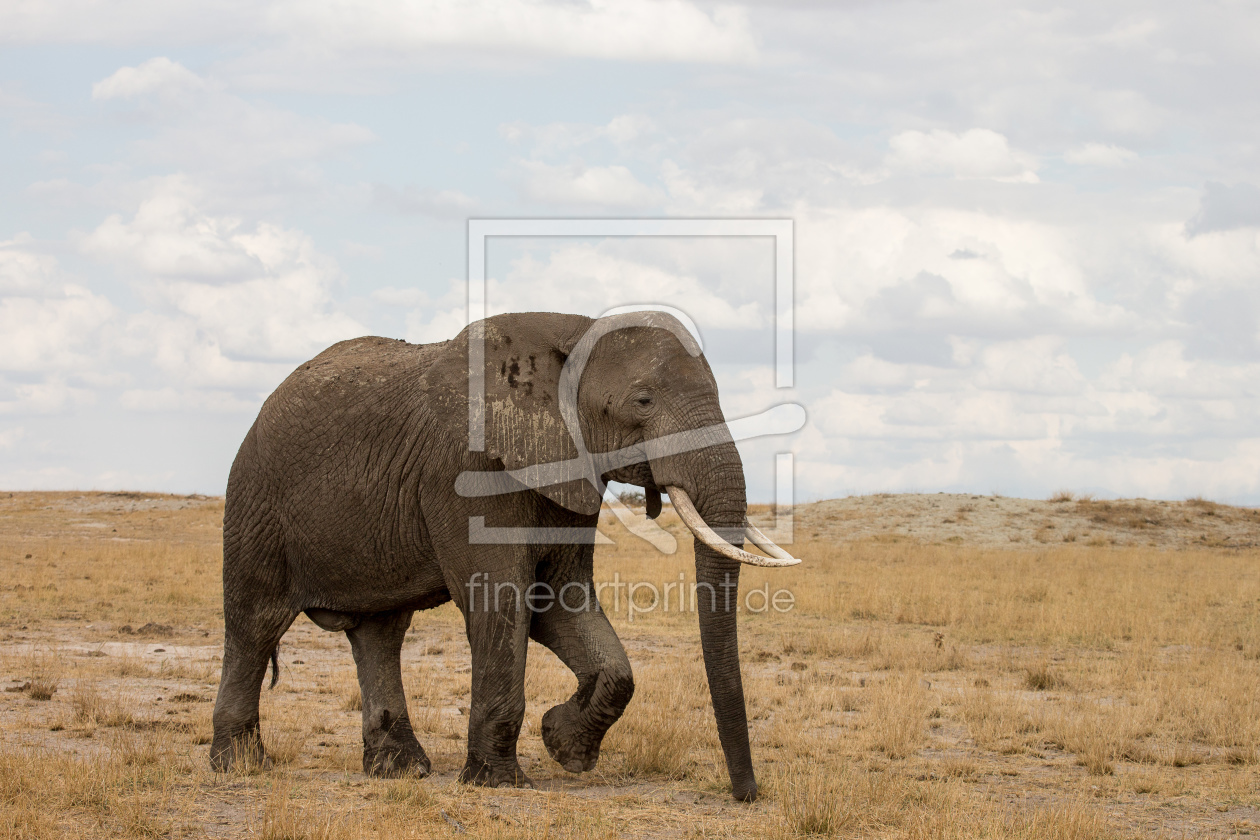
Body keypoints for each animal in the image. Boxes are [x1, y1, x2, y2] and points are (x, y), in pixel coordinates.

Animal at [206, 308, 796, 800]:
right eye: (644, 400)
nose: (747, 795)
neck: (572, 333)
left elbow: (562, 607)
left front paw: (564, 746)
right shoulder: (466, 472)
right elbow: (501, 603)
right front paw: (498, 782)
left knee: (379, 634)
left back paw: (399, 770)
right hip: (255, 499)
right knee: (256, 623)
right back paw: (240, 766)